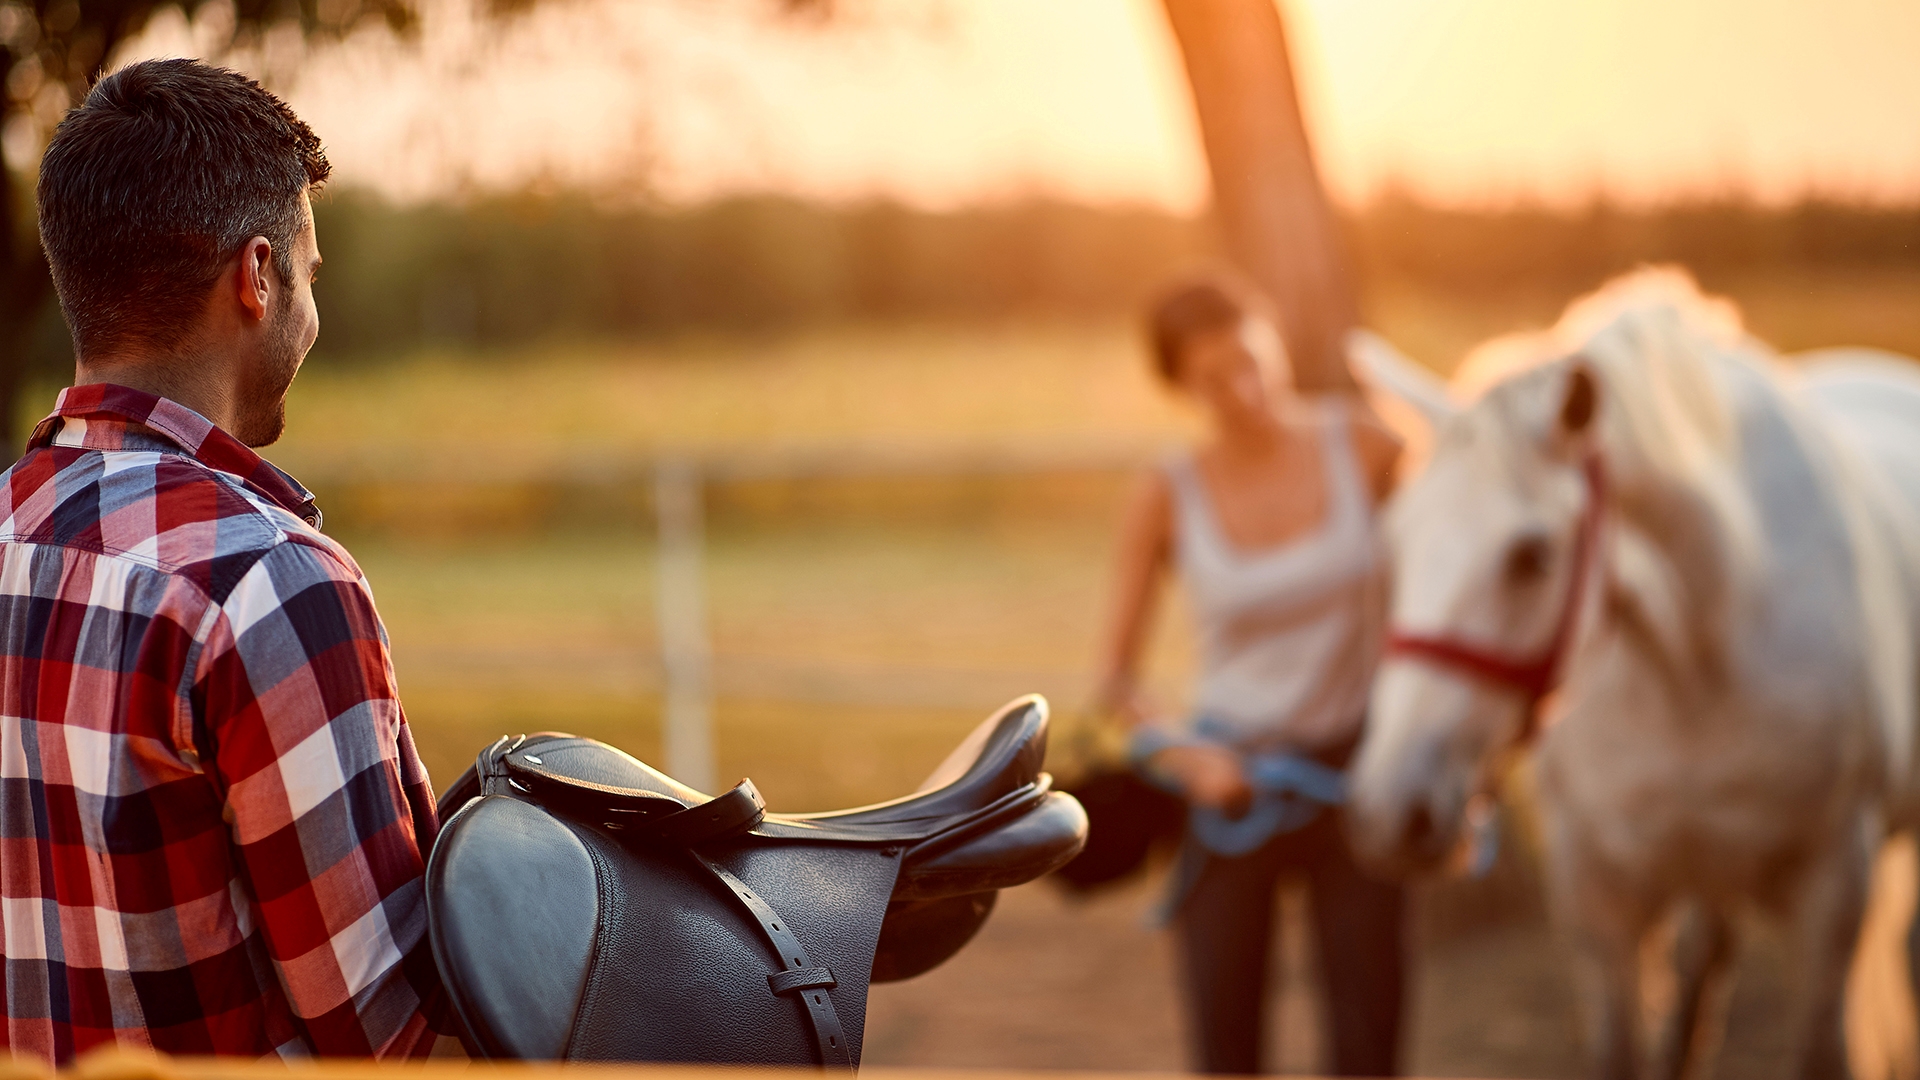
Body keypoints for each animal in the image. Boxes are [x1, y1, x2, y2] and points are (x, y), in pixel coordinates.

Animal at [1344, 270, 1920, 1076]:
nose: (1386, 816)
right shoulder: (1598, 896)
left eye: (1531, 556)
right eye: (1395, 538)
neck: (1693, 665)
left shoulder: (1833, 891)